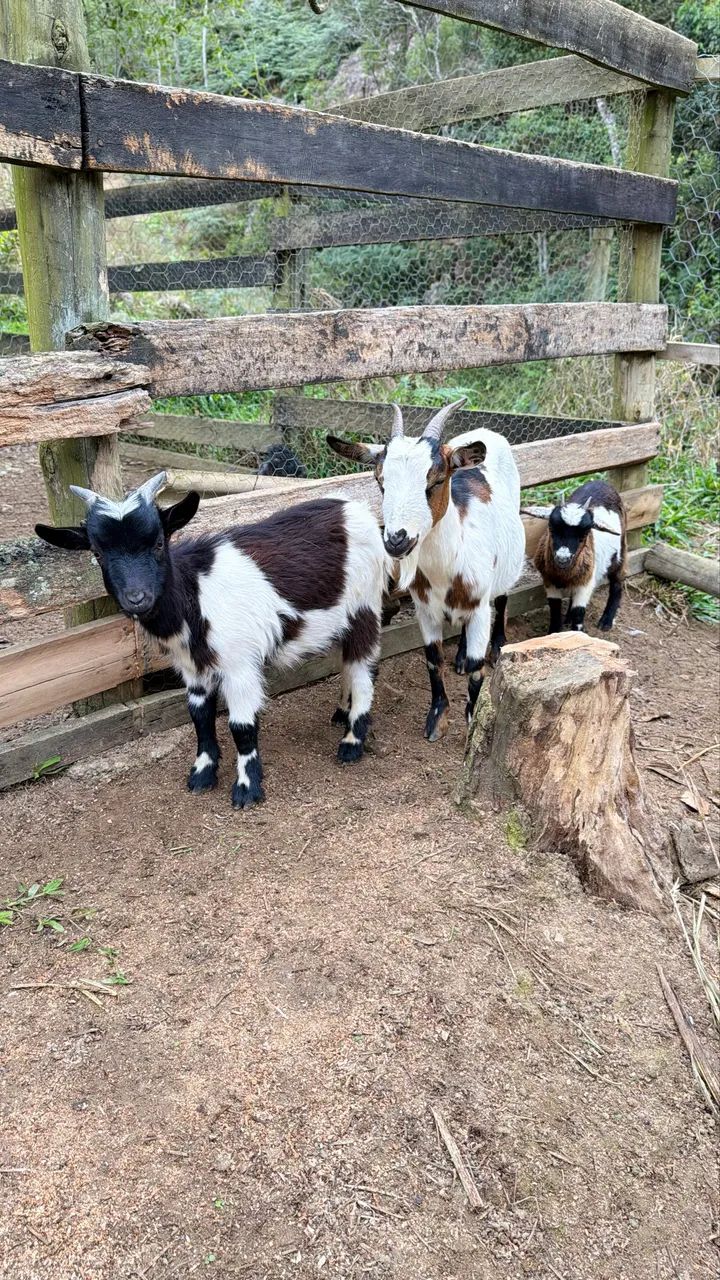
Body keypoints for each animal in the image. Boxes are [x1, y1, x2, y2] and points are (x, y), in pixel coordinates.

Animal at [35, 473, 385, 810]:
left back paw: (352, 742)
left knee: (363, 670)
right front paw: (202, 775)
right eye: (97, 553)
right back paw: (342, 712)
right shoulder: (192, 668)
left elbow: (241, 728)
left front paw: (246, 789)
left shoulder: (240, 666)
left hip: (364, 606)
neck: (195, 596)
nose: (137, 598)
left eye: (159, 543)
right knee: (348, 664)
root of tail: (354, 508)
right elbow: (200, 718)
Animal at [327, 400, 526, 739]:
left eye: (435, 481)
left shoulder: (479, 606)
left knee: (503, 598)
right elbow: (433, 660)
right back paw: (459, 656)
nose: (396, 540)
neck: (448, 568)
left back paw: (498, 645)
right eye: (381, 482)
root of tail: (486, 432)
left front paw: (471, 720)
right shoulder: (425, 610)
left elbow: (477, 667)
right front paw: (436, 719)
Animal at [522, 479, 627, 633]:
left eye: (585, 533)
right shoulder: (549, 581)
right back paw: (568, 618)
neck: (563, 575)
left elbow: (578, 614)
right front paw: (555, 632)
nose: (562, 558)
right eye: (551, 528)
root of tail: (600, 482)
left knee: (617, 584)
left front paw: (577, 634)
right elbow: (555, 609)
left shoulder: (586, 583)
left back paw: (606, 621)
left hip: (620, 553)